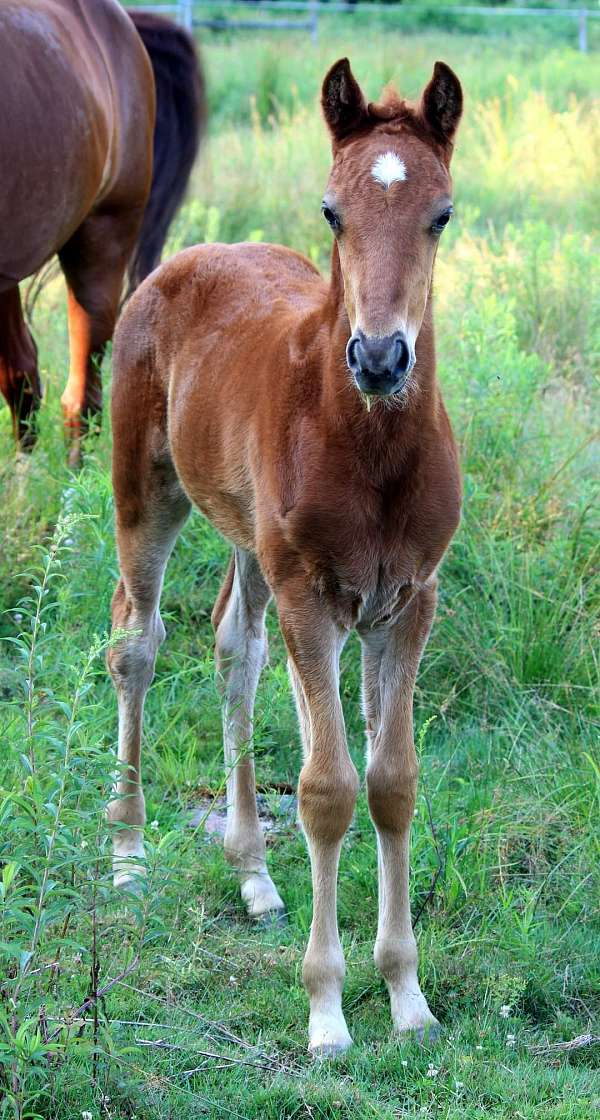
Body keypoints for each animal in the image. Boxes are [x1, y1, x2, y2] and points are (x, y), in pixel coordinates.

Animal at [108, 59, 463, 1057]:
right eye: (332, 210)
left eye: (442, 214)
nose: (379, 358)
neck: (372, 448)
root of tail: (193, 254)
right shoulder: (314, 594)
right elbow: (327, 788)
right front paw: (328, 1012)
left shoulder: (406, 601)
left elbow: (392, 782)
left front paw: (408, 998)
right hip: (146, 493)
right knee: (137, 643)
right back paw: (128, 853)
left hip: (250, 541)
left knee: (236, 647)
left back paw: (255, 874)